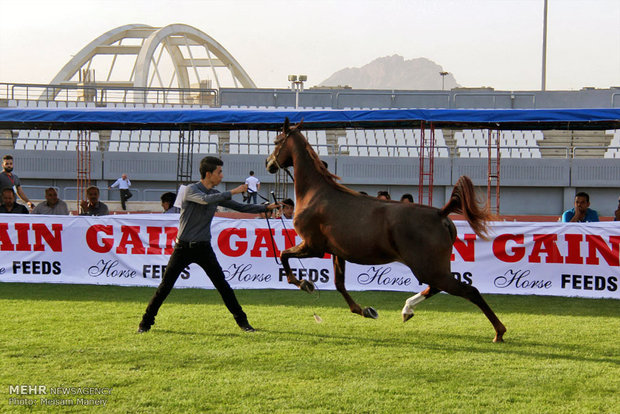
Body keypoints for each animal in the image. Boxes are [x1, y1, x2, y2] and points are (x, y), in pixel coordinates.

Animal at [264, 118, 506, 342]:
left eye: (276, 141)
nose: (268, 163)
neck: (316, 193)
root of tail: (440, 213)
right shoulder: (337, 252)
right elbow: (339, 284)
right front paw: (365, 311)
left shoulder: (313, 246)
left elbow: (284, 255)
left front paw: (303, 283)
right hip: (433, 268)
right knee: (438, 288)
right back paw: (407, 310)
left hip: (427, 268)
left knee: (469, 291)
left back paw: (499, 332)